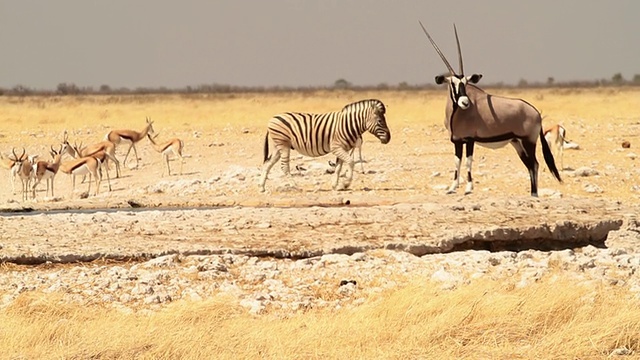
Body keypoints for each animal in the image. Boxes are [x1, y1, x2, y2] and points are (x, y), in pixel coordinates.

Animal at [258, 98, 390, 191]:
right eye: (380, 121)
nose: (389, 138)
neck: (349, 124)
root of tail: (272, 118)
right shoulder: (336, 148)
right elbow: (351, 162)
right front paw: (346, 184)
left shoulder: (343, 149)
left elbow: (338, 168)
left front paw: (335, 186)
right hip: (283, 144)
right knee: (284, 166)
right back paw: (295, 186)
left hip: (277, 146)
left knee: (267, 164)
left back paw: (262, 187)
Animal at [416, 21, 560, 197]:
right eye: (453, 83)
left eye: (466, 83)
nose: (465, 102)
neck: (457, 115)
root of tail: (536, 113)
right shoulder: (457, 141)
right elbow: (457, 162)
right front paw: (452, 188)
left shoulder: (469, 140)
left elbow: (468, 162)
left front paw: (468, 189)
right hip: (517, 143)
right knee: (530, 164)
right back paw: (533, 193)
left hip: (528, 141)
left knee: (534, 164)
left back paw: (534, 194)